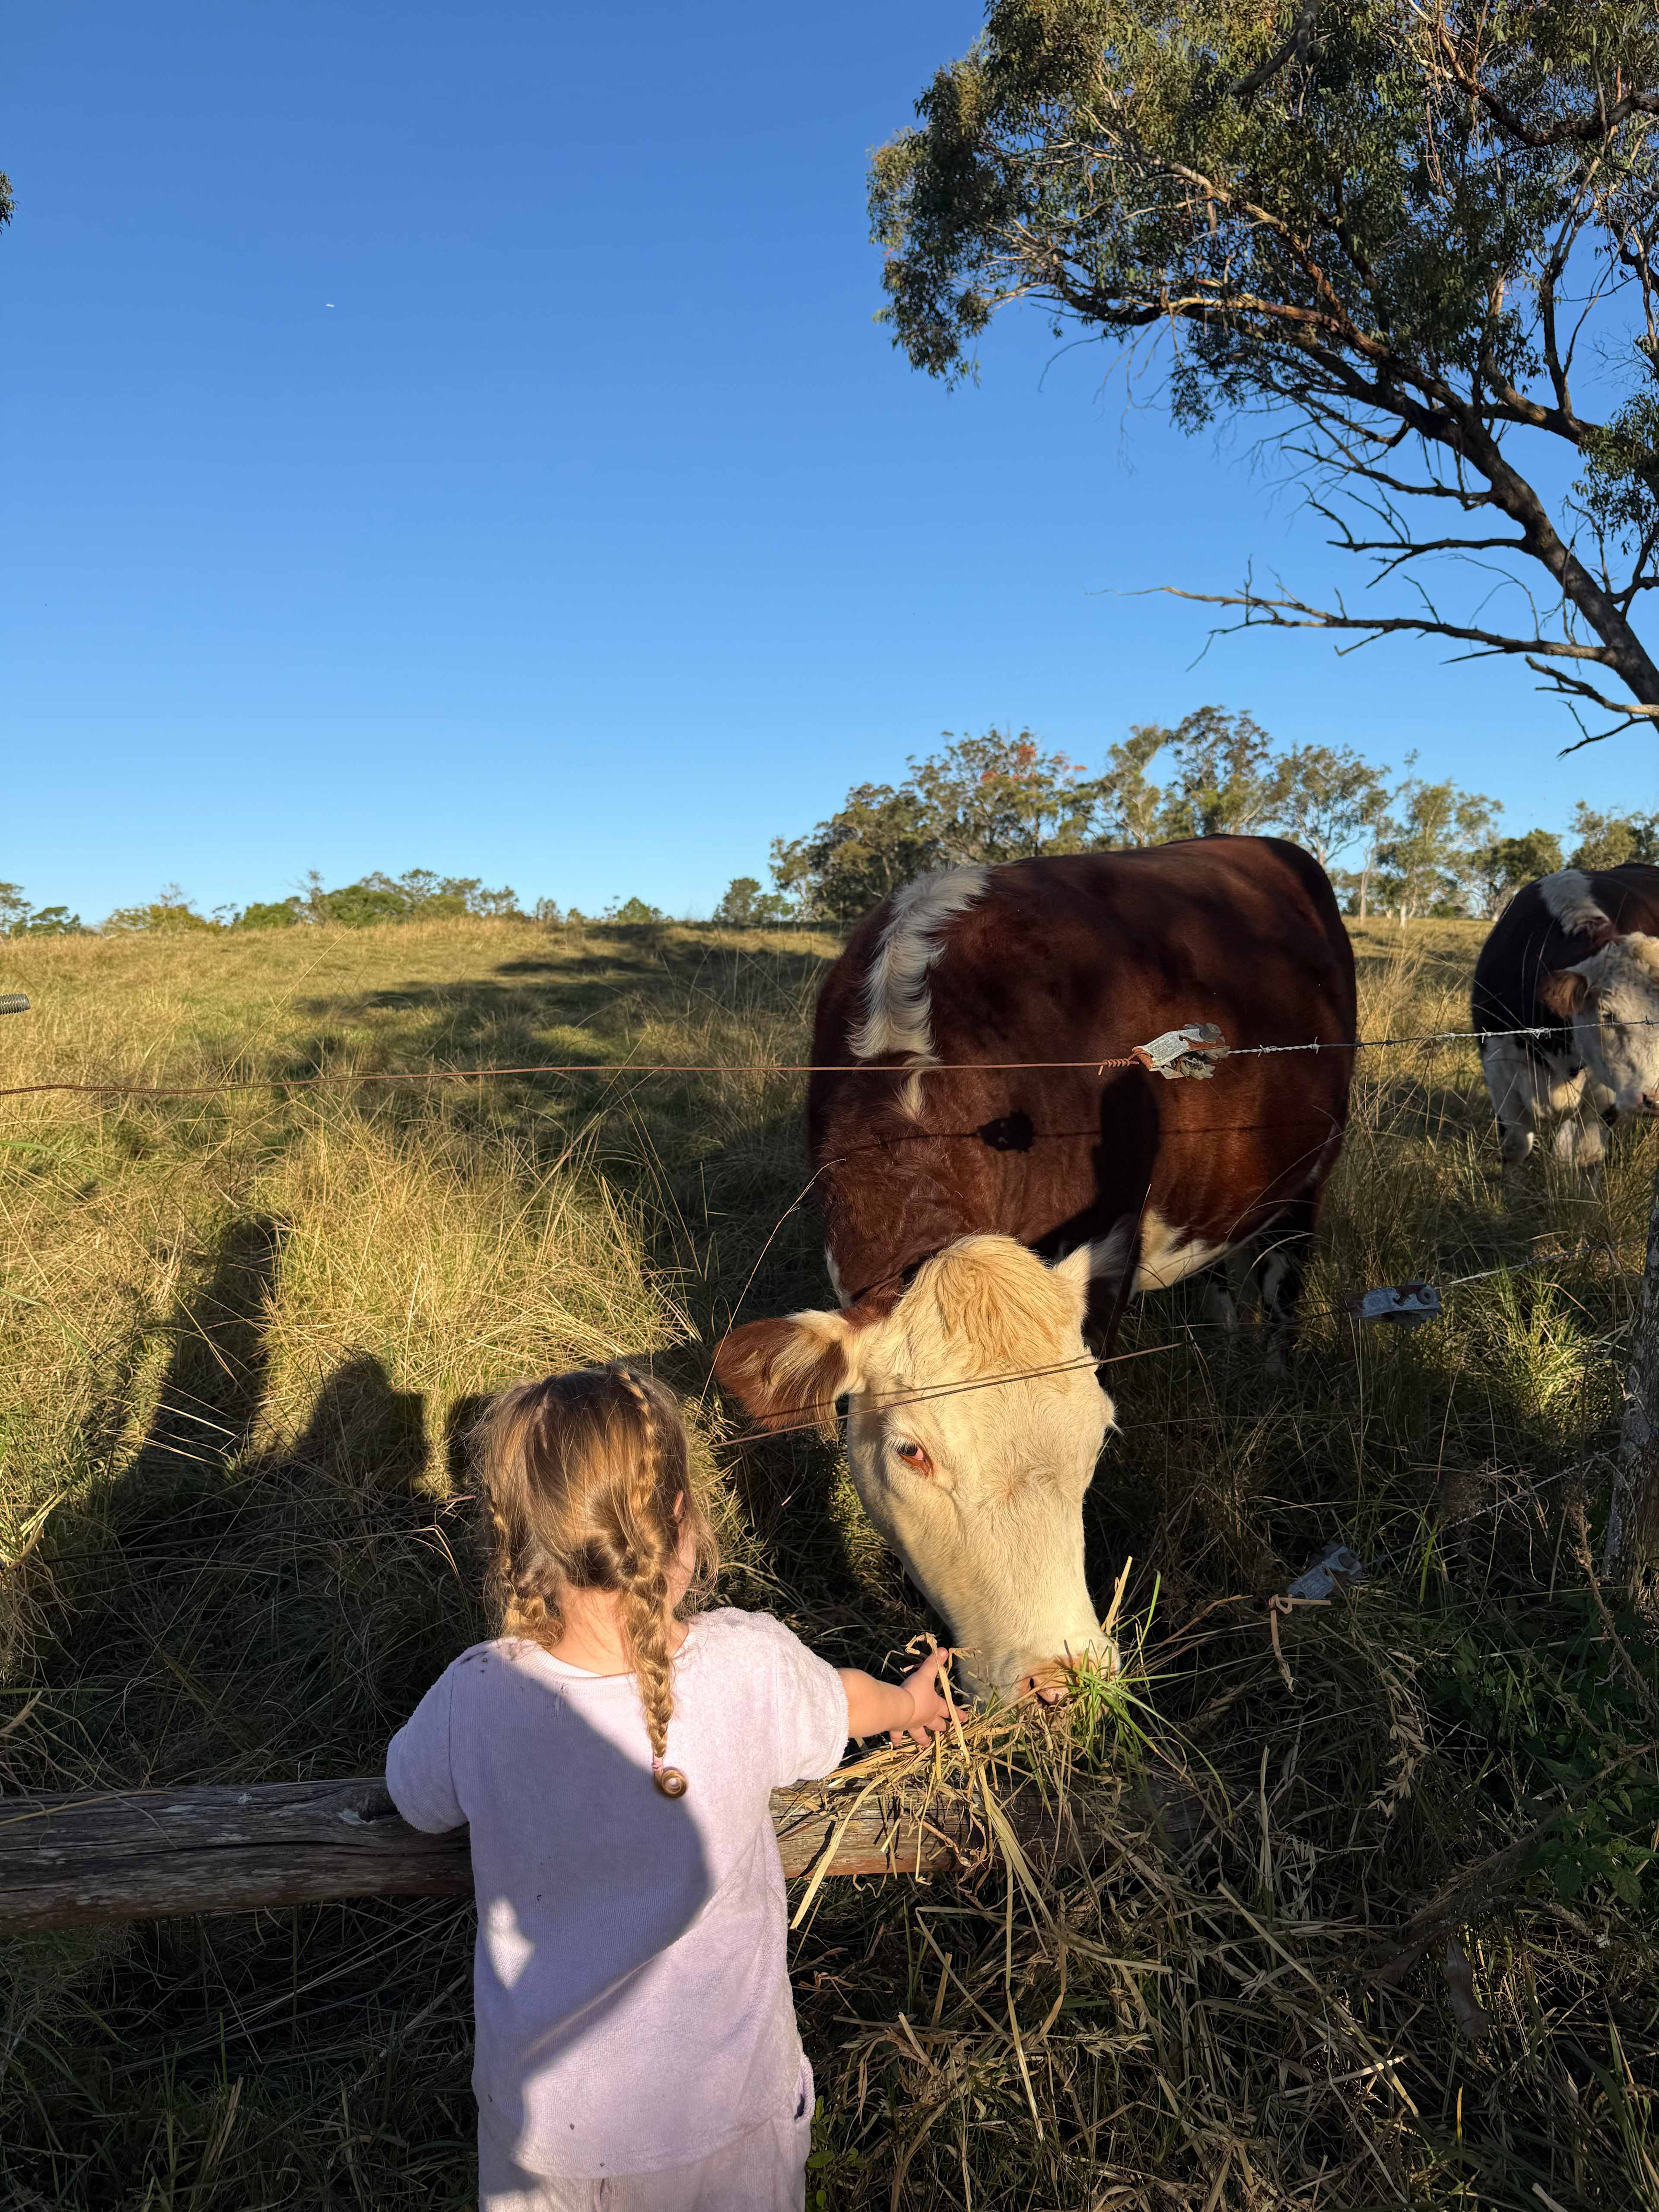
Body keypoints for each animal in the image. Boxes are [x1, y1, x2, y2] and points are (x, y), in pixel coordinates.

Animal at [1473, 865, 1659, 1165]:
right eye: (1607, 1014)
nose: (1654, 1098)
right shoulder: (1497, 1068)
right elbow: (1515, 1147)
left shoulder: (1602, 1096)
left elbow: (1586, 1156)